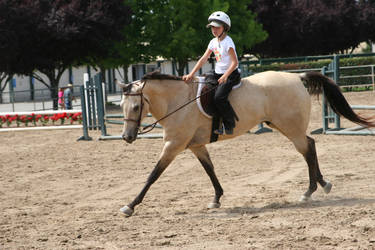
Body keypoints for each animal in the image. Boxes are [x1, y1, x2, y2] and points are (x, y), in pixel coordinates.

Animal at [116, 71, 374, 217]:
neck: (178, 101)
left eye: (136, 107)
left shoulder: (173, 146)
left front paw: (130, 206)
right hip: (282, 126)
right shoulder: (195, 146)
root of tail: (296, 77)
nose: (127, 137)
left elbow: (153, 175)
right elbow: (210, 170)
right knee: (309, 146)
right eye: (121, 106)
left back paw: (309, 192)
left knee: (307, 149)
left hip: (290, 128)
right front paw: (216, 199)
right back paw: (322, 184)